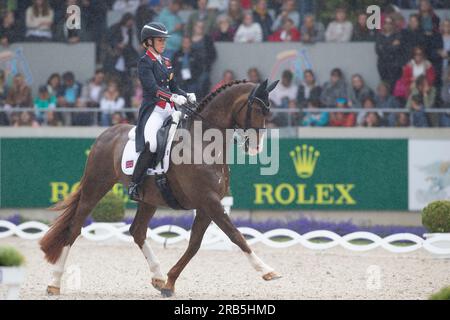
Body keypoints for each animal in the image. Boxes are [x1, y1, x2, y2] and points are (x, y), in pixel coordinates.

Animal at [41, 78, 282, 298]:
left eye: (268, 110)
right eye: (257, 108)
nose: (256, 147)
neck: (203, 143)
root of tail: (107, 133)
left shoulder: (207, 204)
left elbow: (195, 244)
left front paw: (169, 282)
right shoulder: (209, 200)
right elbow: (236, 235)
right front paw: (267, 271)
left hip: (148, 199)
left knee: (137, 231)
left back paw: (157, 276)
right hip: (95, 186)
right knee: (74, 229)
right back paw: (54, 283)